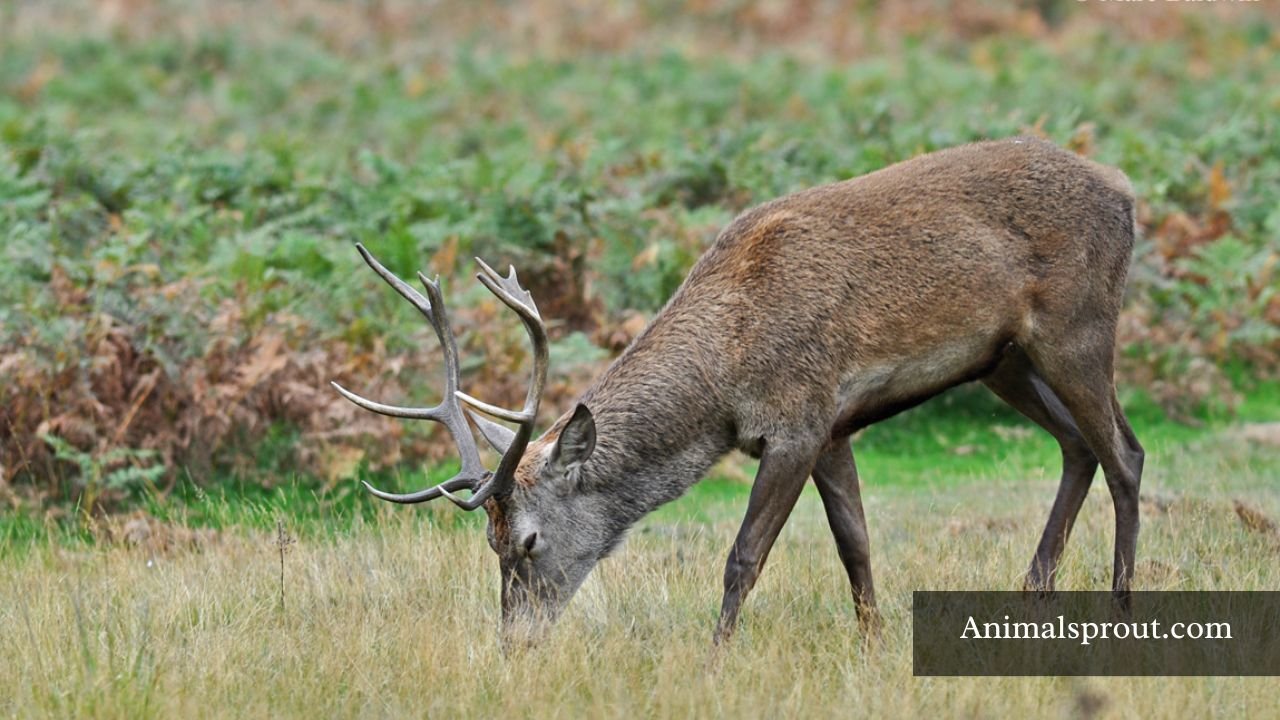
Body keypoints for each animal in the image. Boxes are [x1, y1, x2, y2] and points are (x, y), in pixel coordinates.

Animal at [332, 136, 1145, 645]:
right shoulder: (832, 427)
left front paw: (716, 656)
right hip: (1004, 359)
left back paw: (1121, 605)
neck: (726, 381)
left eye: (528, 541)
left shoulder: (798, 419)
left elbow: (744, 556)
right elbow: (856, 544)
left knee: (1125, 454)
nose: (513, 642)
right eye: (490, 542)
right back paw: (1034, 590)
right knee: (1079, 446)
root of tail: (1126, 189)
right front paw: (875, 644)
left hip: (1078, 325)